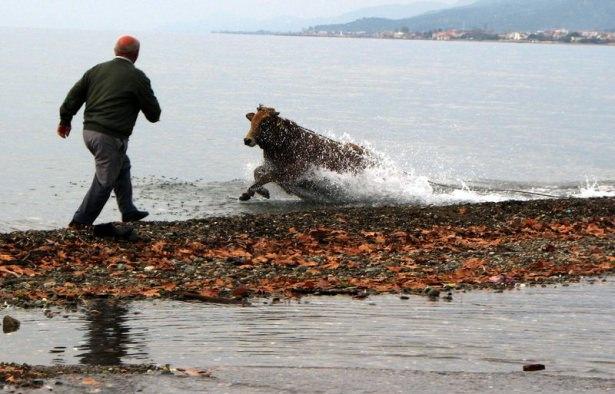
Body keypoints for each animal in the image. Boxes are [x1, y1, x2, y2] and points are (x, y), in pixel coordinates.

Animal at [241, 106, 376, 202]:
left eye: (265, 123)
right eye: (252, 121)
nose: (247, 140)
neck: (285, 143)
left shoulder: (292, 171)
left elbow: (268, 176)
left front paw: (254, 191)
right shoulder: (272, 165)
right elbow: (257, 171)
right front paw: (254, 192)